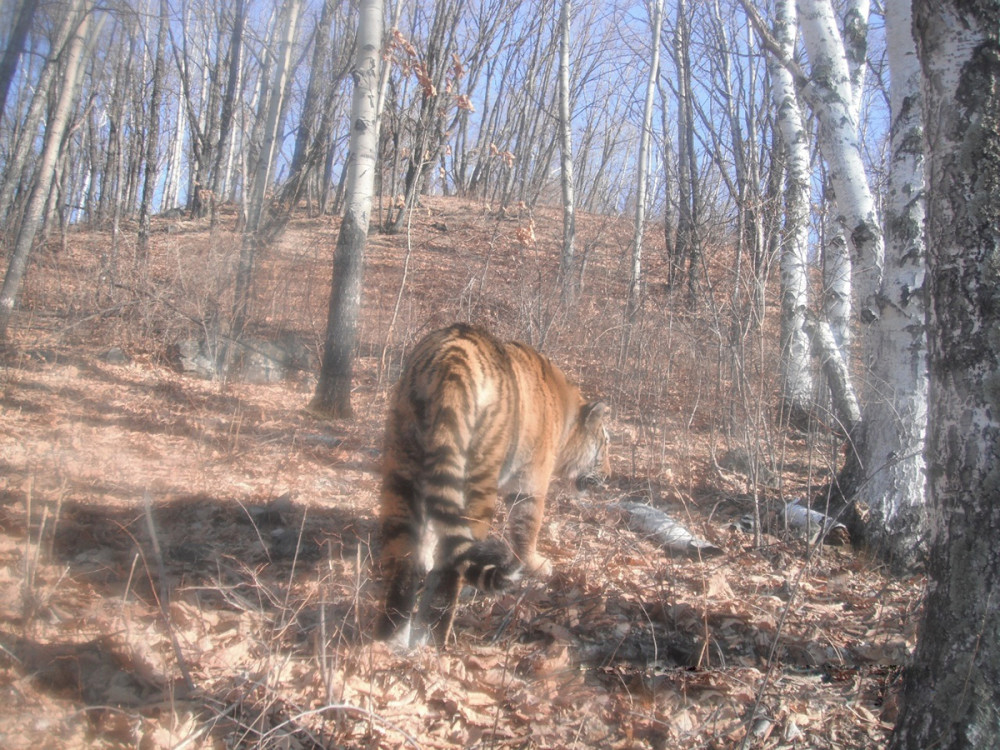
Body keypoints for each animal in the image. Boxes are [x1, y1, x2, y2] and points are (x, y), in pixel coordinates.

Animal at [376, 324, 608, 648]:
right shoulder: (529, 483)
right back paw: (432, 639)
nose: (609, 475)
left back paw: (394, 637)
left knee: (403, 556)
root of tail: (450, 360)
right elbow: (527, 529)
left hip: (402, 465)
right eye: (606, 444)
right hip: (476, 481)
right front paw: (536, 565)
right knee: (451, 563)